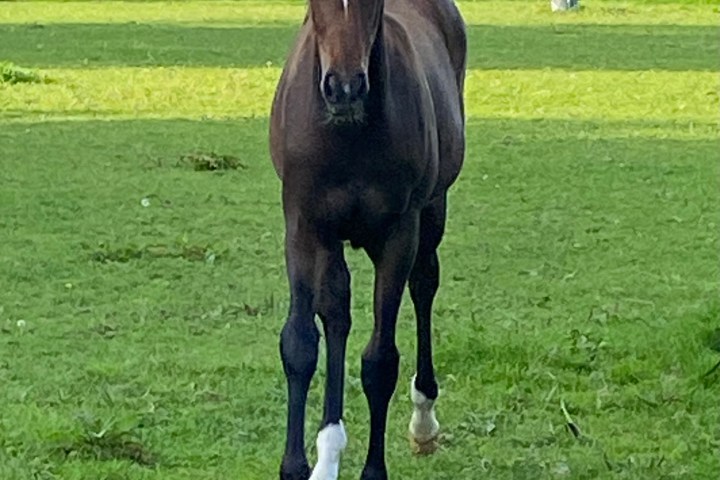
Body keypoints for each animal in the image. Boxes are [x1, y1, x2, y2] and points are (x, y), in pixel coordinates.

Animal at [269, 0, 466, 478]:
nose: (344, 88)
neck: (347, 134)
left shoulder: (398, 233)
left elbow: (380, 361)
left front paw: (373, 469)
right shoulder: (303, 225)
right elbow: (300, 342)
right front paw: (297, 465)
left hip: (432, 210)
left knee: (424, 285)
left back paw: (423, 419)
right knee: (336, 310)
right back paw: (329, 451)